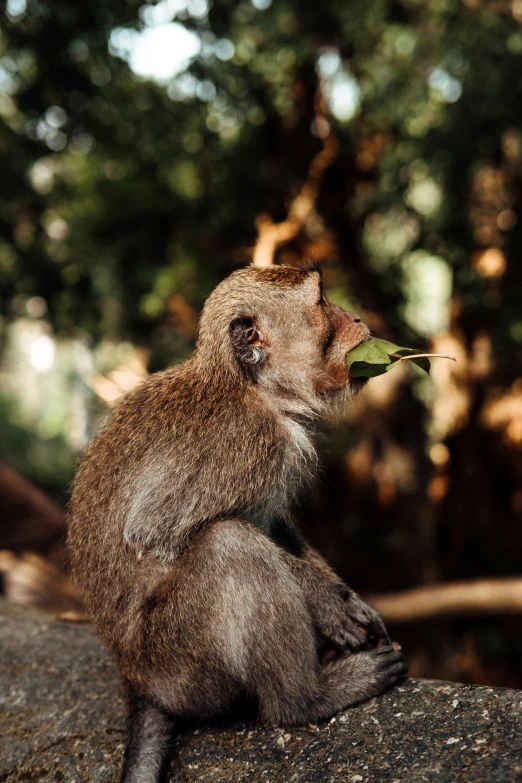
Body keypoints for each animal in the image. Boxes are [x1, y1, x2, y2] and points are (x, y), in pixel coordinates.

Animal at [67, 264, 404, 783]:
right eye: (322, 302)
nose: (355, 316)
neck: (251, 387)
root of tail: (139, 683)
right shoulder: (245, 442)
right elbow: (154, 532)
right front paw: (326, 601)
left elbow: (272, 521)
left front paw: (343, 596)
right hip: (182, 667)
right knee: (228, 544)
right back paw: (304, 700)